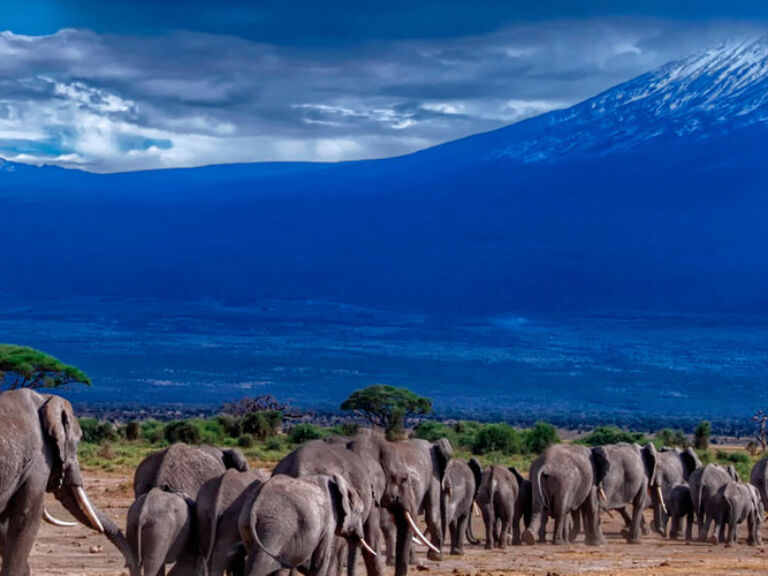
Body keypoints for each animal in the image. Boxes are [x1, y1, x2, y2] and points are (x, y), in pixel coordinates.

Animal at [238, 472, 368, 576]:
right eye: (361, 513)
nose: (359, 535)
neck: (339, 484)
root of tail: (256, 502)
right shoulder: (330, 520)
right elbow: (321, 559)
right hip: (274, 528)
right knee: (261, 562)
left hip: (247, 525)